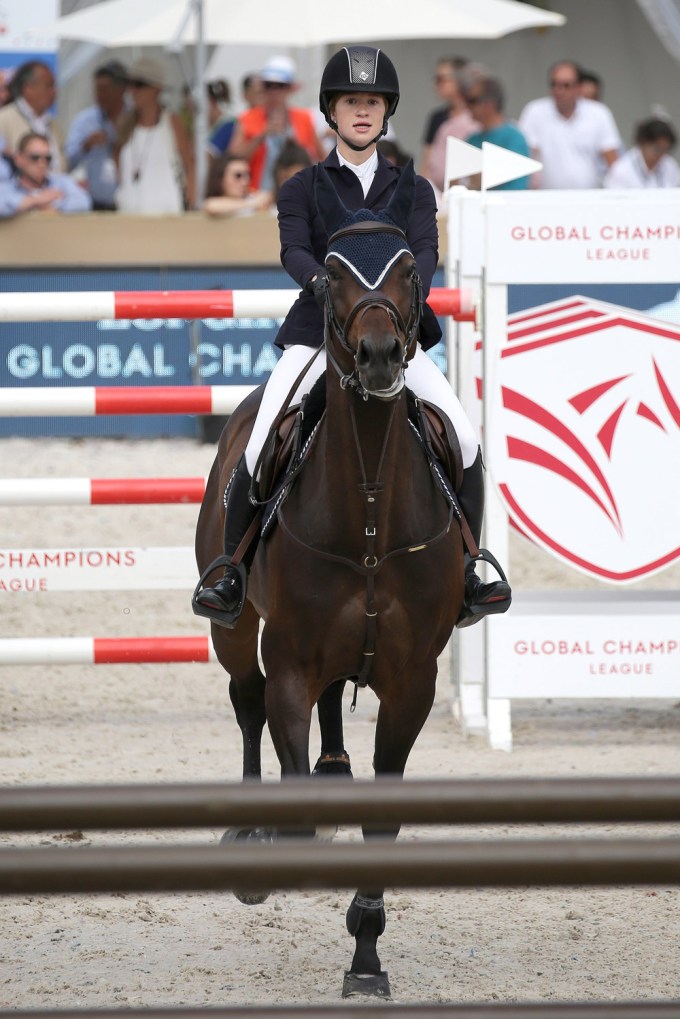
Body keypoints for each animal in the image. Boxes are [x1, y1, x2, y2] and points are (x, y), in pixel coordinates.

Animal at [193, 163, 464, 998]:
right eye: (334, 274)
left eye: (408, 267)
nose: (378, 355)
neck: (369, 504)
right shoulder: (289, 662)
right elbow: (294, 785)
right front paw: (267, 857)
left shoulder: (411, 681)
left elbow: (381, 816)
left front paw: (367, 957)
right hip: (233, 627)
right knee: (244, 700)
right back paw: (248, 830)